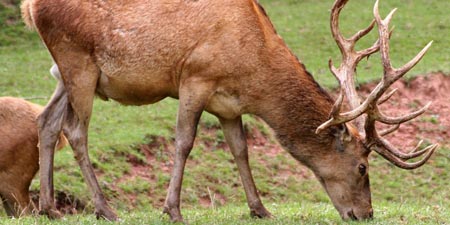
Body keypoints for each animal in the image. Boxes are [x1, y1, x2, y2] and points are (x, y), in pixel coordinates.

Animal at [20, 0, 436, 221]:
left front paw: (260, 209)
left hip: (64, 73)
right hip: (78, 62)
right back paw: (104, 209)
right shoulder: (194, 77)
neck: (254, 70)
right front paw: (173, 210)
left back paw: (49, 208)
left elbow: (240, 149)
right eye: (363, 167)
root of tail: (31, 7)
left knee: (46, 121)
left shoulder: (228, 104)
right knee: (75, 131)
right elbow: (184, 142)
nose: (365, 213)